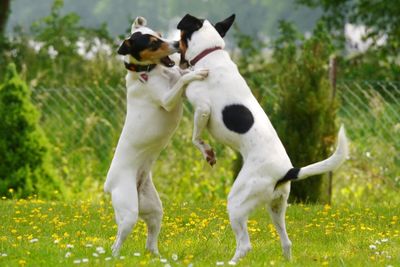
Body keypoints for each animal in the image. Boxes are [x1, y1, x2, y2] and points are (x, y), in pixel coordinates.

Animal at [104, 16, 208, 258]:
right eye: (152, 43)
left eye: (160, 35)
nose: (177, 44)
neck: (148, 72)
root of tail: (109, 185)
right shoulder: (167, 99)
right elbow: (182, 82)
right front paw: (196, 74)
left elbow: (180, 76)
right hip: (128, 212)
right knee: (117, 241)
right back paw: (114, 257)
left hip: (153, 210)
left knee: (150, 240)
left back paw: (157, 256)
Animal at [177, 14, 348, 264]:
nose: (171, 45)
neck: (210, 53)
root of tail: (288, 171)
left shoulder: (203, 110)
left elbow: (196, 138)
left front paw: (207, 152)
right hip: (276, 207)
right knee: (286, 242)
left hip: (238, 203)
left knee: (245, 245)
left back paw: (229, 262)